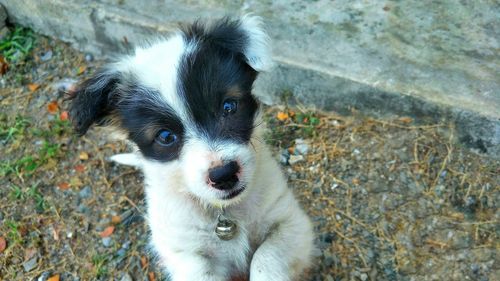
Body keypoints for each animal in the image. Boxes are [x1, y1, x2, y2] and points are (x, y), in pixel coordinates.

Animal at [70, 15, 312, 280]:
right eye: (166, 136)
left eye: (229, 107)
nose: (224, 175)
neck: (223, 212)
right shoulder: (185, 254)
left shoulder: (291, 222)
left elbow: (266, 258)